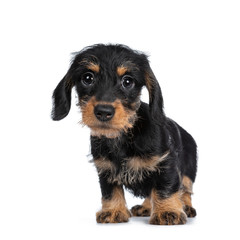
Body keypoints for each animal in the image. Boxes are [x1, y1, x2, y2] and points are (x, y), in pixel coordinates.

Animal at [50, 43, 197, 225]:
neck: (122, 137)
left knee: (185, 190)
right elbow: (110, 191)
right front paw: (113, 210)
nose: (103, 112)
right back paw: (146, 207)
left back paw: (186, 207)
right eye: (87, 78)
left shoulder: (165, 162)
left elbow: (165, 188)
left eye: (127, 81)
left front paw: (167, 211)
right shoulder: (105, 167)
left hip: (188, 173)